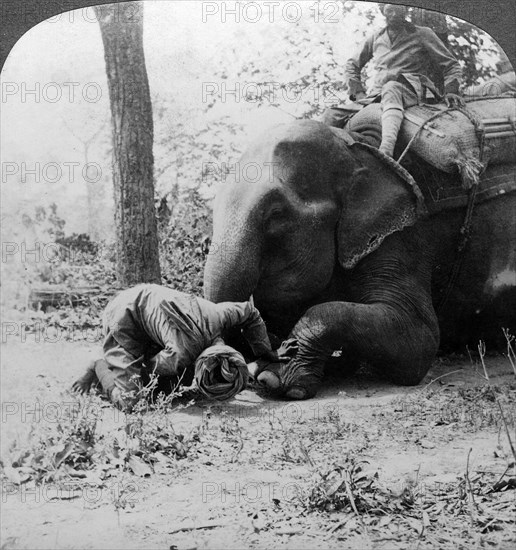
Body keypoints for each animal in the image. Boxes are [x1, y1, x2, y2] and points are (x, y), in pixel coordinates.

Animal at [203, 118, 516, 402]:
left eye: (275, 216)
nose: (238, 371)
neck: (358, 148)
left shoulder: (402, 236)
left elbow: (420, 339)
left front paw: (274, 377)